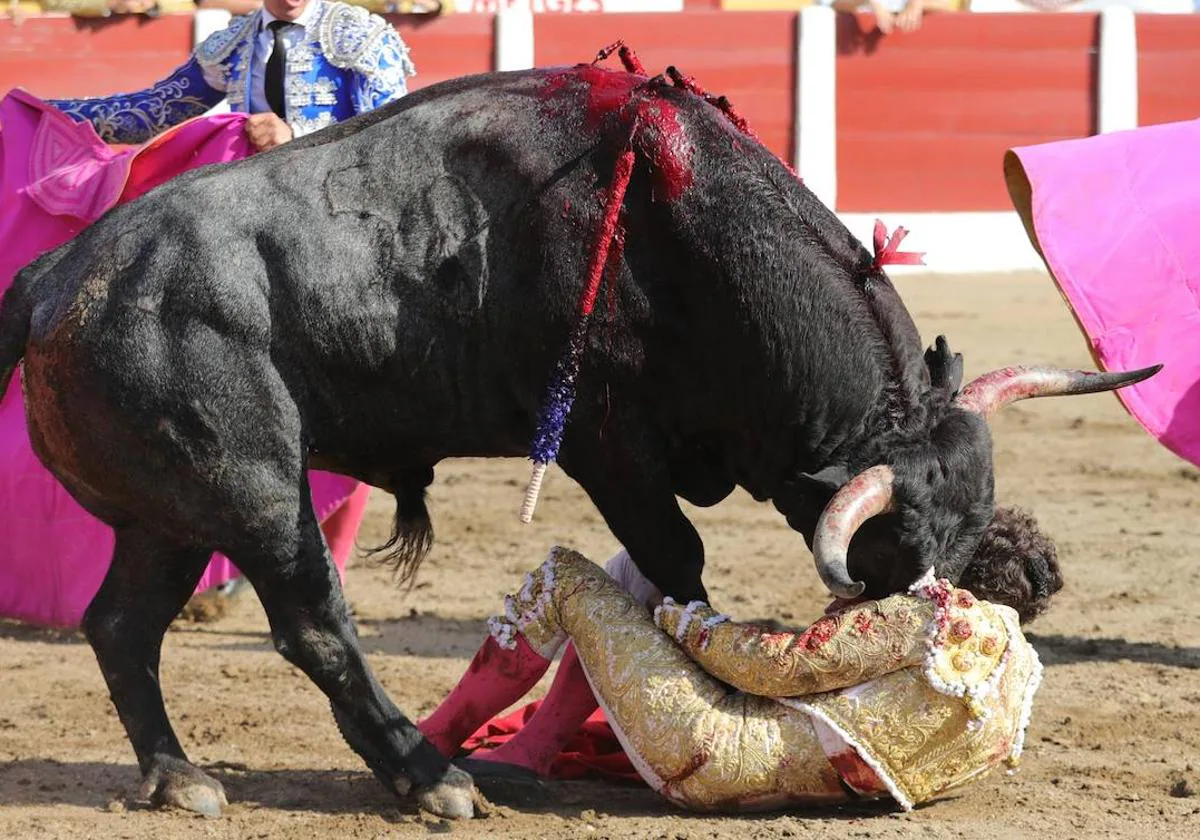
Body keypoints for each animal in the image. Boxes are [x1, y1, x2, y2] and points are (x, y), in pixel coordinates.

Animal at [0, 63, 1156, 816]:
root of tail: (60, 275)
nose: (923, 604)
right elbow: (677, 564)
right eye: (904, 547)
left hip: (172, 515)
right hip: (255, 490)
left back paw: (180, 778)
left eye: (970, 537)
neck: (687, 238)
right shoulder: (612, 448)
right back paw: (431, 779)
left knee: (120, 625)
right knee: (311, 624)